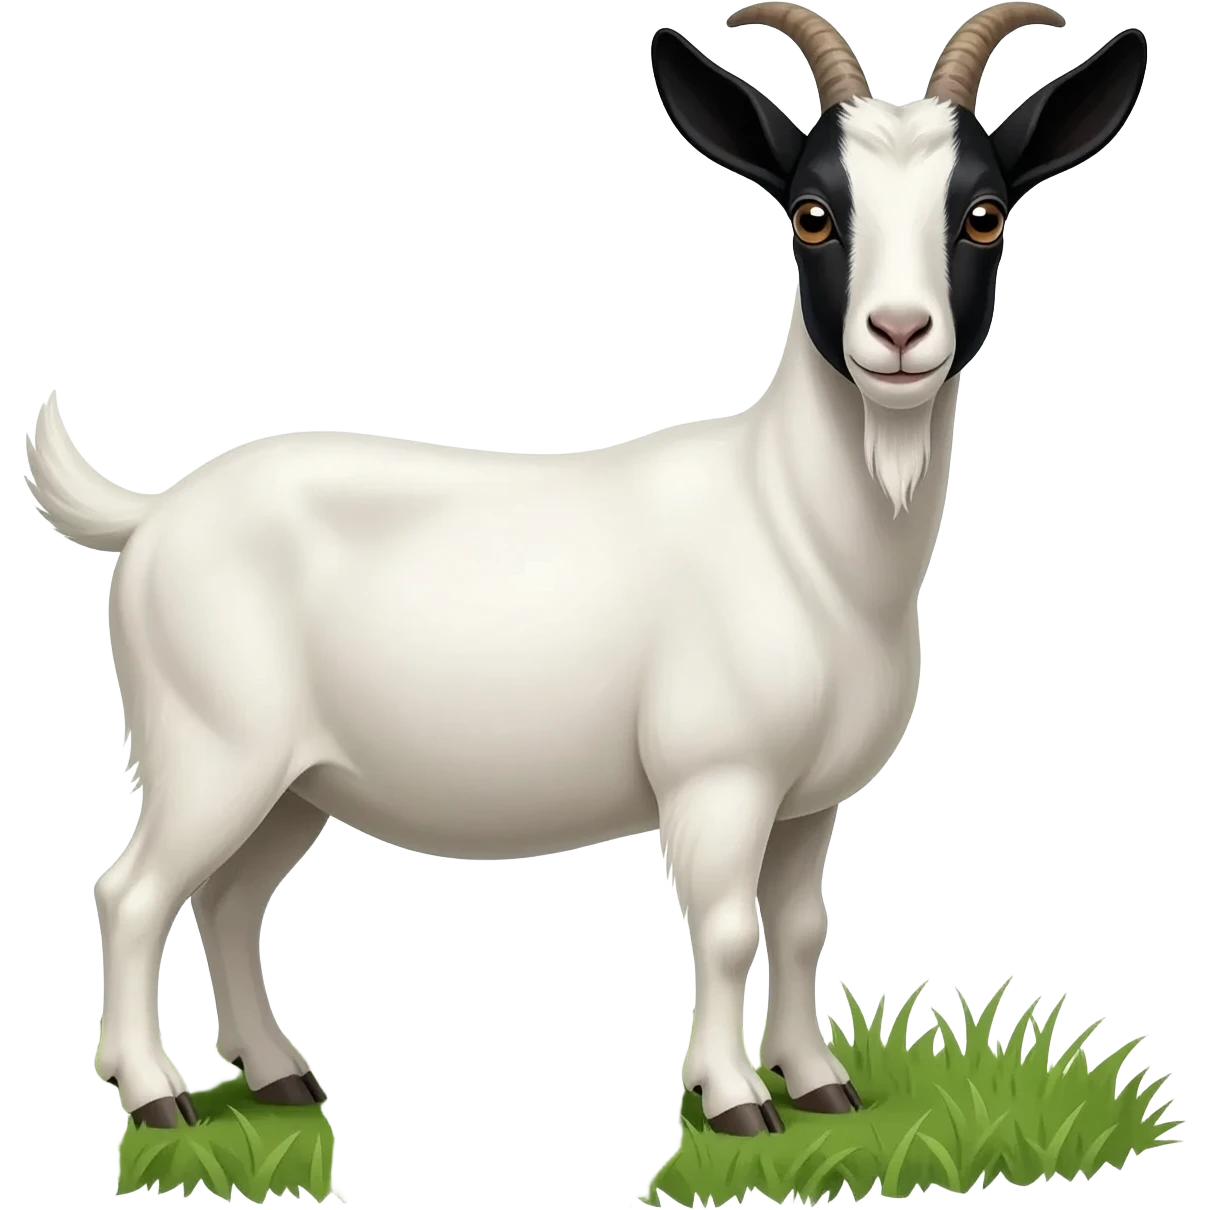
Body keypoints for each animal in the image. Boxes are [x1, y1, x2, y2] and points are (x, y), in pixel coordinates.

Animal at [25, 1, 1146, 1139]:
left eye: (985, 215)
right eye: (814, 214)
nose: (900, 333)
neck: (800, 531)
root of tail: (152, 512)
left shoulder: (805, 798)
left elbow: (797, 927)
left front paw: (823, 1086)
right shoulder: (717, 774)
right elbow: (727, 925)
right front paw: (737, 1100)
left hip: (292, 779)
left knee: (228, 898)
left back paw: (276, 1075)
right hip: (210, 747)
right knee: (132, 890)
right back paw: (158, 1095)